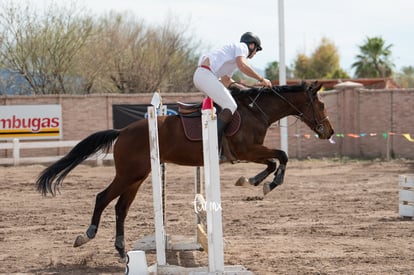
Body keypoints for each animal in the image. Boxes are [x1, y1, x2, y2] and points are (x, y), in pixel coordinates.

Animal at [34, 81, 334, 260]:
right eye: (321, 104)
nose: (328, 132)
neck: (255, 112)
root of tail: (123, 131)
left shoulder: (251, 152)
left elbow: (274, 161)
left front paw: (254, 181)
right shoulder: (248, 150)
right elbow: (281, 157)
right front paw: (266, 183)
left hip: (138, 177)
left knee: (120, 208)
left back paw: (120, 250)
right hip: (129, 174)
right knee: (102, 198)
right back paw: (86, 236)